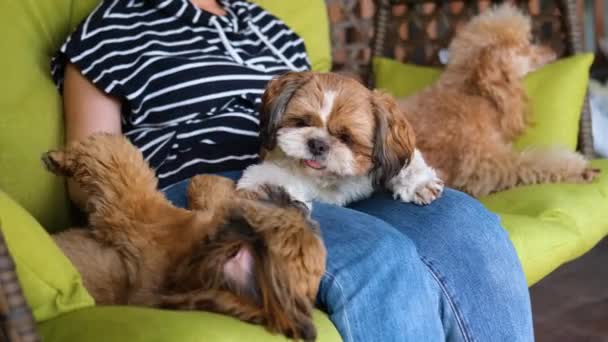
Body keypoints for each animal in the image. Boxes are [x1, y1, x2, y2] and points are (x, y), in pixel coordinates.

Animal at [396, 4, 600, 198]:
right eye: (526, 46)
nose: (553, 53)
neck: (472, 93)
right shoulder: (480, 163)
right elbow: (530, 162)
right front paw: (582, 170)